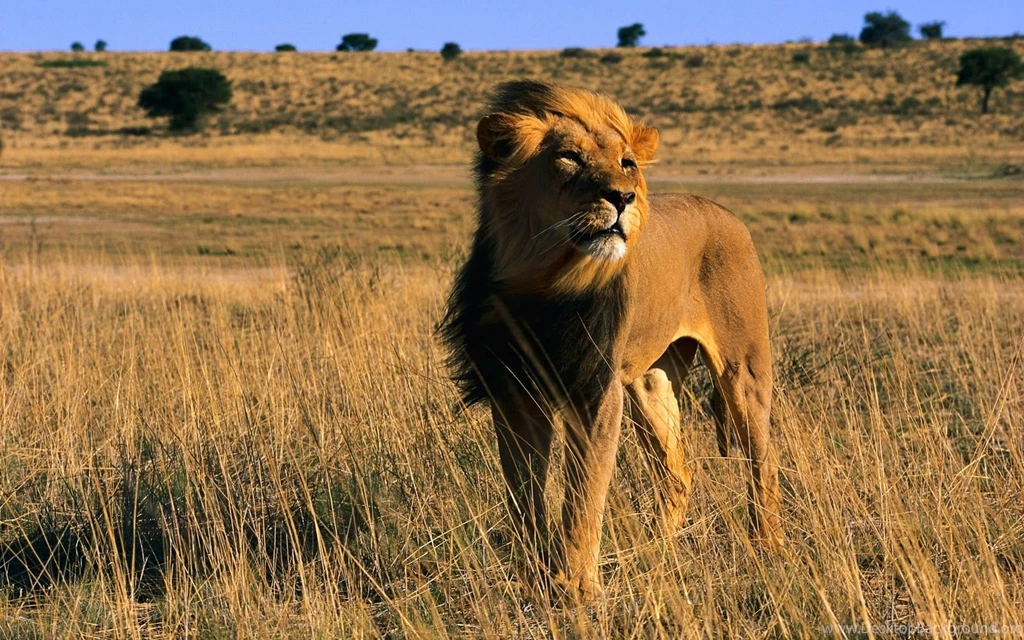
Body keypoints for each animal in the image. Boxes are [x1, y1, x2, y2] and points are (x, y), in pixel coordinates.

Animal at [440, 80, 781, 599]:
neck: (545, 281)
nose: (622, 197)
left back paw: (767, 547)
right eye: (569, 158)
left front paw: (578, 590)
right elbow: (524, 494)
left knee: (763, 459)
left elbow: (584, 495)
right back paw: (653, 553)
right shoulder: (513, 391)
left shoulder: (596, 390)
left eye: (627, 163)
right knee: (678, 474)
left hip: (742, 369)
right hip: (650, 383)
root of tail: (725, 212)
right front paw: (535, 578)